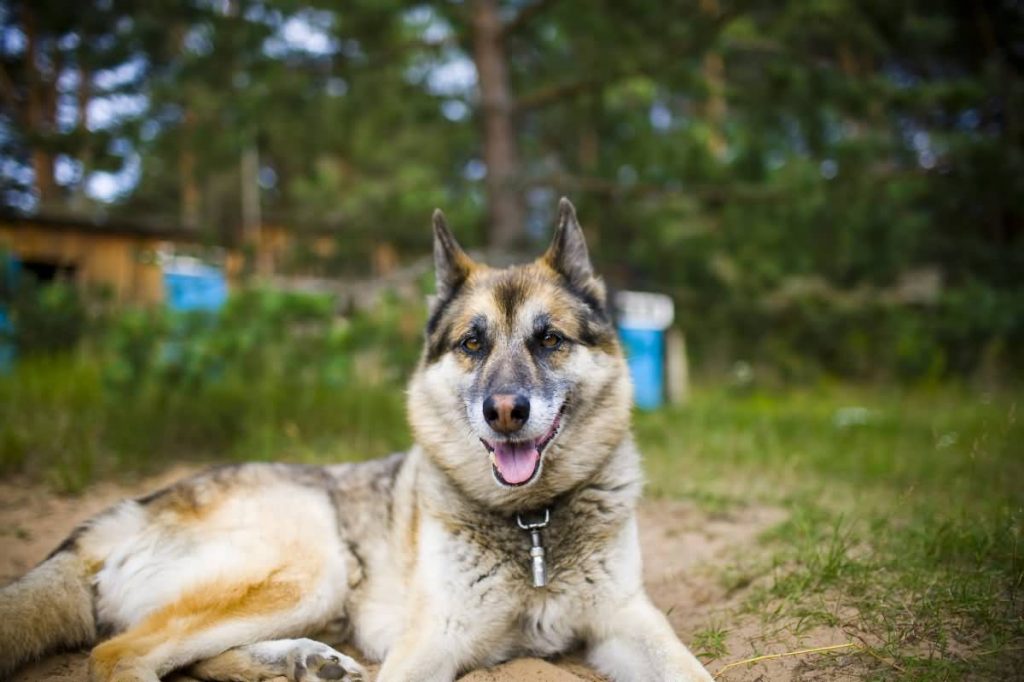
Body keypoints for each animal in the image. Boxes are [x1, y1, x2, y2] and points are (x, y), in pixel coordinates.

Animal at [0, 197, 716, 679]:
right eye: (472, 344)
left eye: (549, 339)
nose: (505, 412)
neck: (531, 524)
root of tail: (123, 515)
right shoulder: (430, 642)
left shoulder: (628, 621)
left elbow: (690, 670)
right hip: (312, 568)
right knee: (118, 653)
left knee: (191, 658)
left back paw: (294, 663)